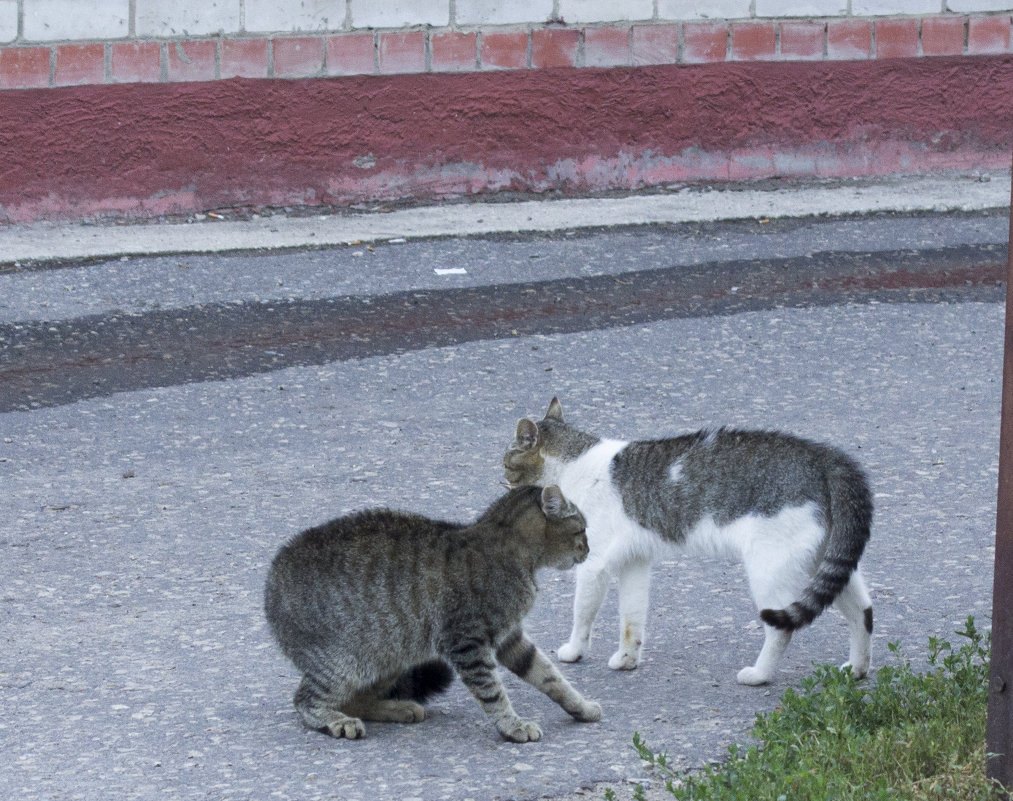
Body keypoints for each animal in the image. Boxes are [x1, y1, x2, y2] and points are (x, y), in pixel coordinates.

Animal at [265, 486, 603, 741]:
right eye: (581, 529)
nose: (589, 549)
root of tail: (271, 578)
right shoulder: (467, 642)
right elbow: (493, 692)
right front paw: (512, 725)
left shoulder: (510, 637)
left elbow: (551, 677)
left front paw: (581, 706)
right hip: (344, 662)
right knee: (305, 699)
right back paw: (336, 719)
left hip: (388, 654)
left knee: (356, 700)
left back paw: (396, 708)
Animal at [502, 396, 875, 684]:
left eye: (506, 463)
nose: (501, 480)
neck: (576, 463)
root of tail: (827, 457)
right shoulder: (635, 562)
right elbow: (631, 617)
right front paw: (627, 658)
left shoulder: (594, 564)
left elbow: (582, 613)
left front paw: (575, 651)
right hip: (825, 561)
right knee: (863, 611)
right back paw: (857, 668)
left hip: (769, 567)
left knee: (781, 628)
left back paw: (759, 674)